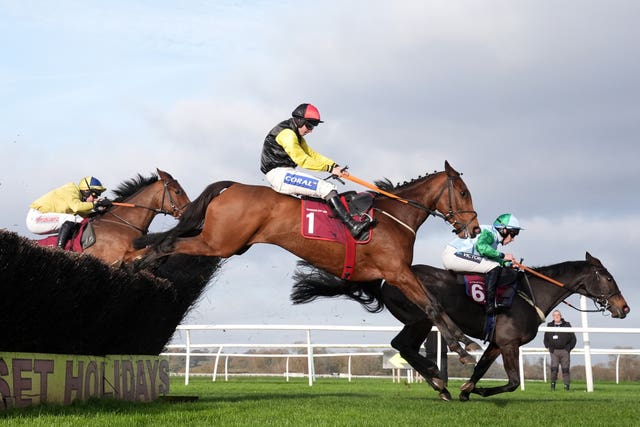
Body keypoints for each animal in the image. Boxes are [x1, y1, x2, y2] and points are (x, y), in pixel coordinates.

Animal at [127, 162, 482, 362]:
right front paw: (461, 346)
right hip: (219, 243)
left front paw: (463, 341)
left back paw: (140, 264)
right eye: (464, 192)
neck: (394, 217)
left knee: (169, 241)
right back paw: (140, 269)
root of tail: (232, 187)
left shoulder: (398, 273)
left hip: (225, 242)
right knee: (171, 242)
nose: (475, 228)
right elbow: (432, 304)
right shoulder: (396, 271)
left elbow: (434, 302)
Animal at [290, 254, 632, 402]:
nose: (625, 308)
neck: (530, 293)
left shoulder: (498, 343)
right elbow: (512, 381)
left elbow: (482, 369)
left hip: (420, 321)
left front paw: (468, 389)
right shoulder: (509, 343)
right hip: (422, 317)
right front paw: (475, 390)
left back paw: (439, 382)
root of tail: (387, 277)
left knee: (403, 346)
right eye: (609, 278)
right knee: (404, 346)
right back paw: (437, 378)